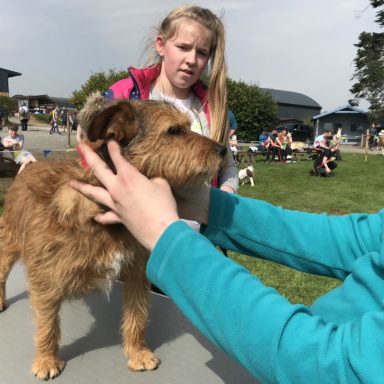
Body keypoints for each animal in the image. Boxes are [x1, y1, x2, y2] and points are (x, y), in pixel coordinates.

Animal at [0, 94, 226, 380]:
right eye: (174, 131)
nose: (224, 150)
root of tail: (27, 166)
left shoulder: (137, 274)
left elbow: (137, 317)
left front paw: (137, 352)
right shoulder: (45, 279)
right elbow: (47, 323)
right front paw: (46, 359)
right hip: (8, 243)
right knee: (2, 273)